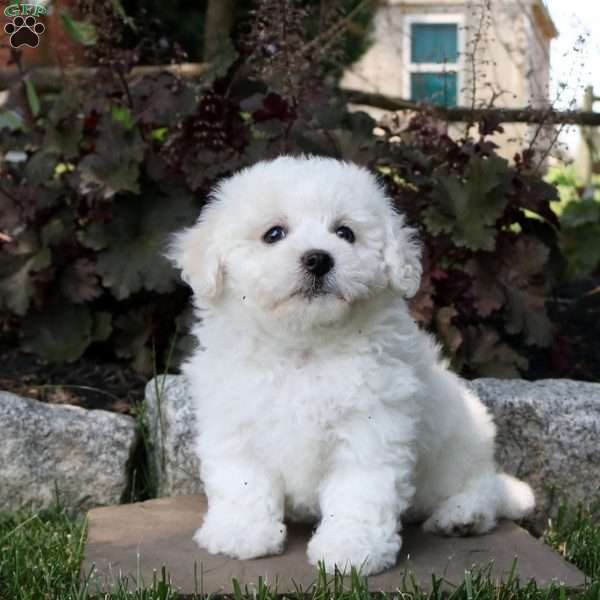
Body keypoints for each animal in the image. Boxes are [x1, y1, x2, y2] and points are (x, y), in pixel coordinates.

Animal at [170, 155, 536, 576]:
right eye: (273, 234)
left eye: (345, 233)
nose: (318, 258)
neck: (303, 346)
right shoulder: (236, 421)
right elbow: (243, 480)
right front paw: (241, 533)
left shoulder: (371, 427)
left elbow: (359, 493)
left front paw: (350, 550)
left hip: (459, 446)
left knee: (482, 486)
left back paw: (463, 515)